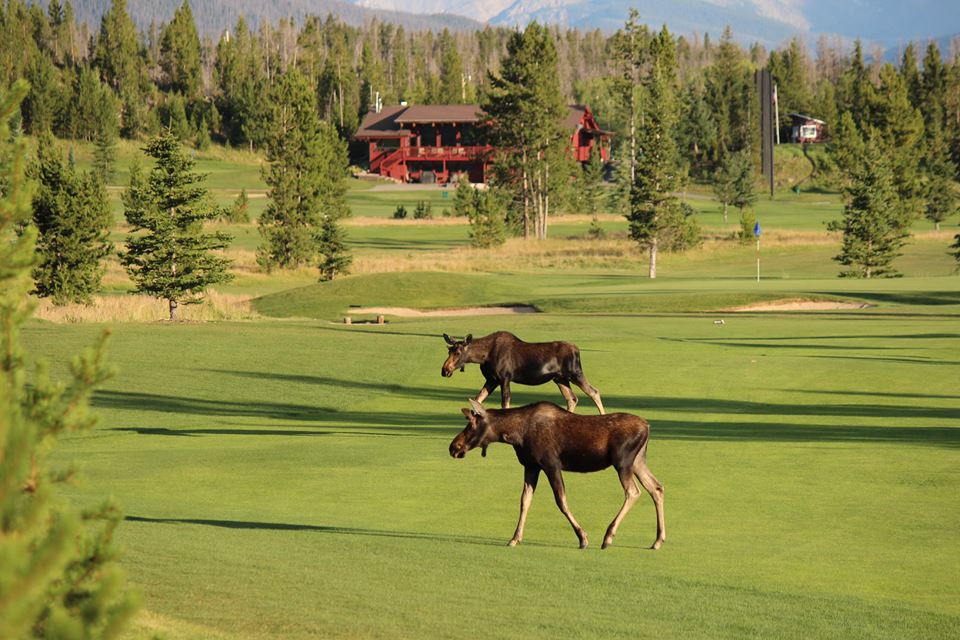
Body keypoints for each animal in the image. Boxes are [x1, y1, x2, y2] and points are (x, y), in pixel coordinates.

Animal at [441, 331, 605, 414]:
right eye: (449, 350)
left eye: (458, 352)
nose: (444, 370)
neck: (483, 357)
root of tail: (577, 349)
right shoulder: (492, 380)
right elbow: (477, 400)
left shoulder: (504, 378)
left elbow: (505, 403)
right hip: (560, 379)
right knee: (572, 399)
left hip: (575, 373)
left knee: (594, 391)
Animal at [449, 400, 665, 550]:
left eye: (471, 424)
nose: (454, 447)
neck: (515, 435)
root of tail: (647, 427)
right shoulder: (531, 466)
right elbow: (524, 501)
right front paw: (514, 538)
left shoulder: (551, 464)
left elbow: (561, 501)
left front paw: (583, 538)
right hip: (638, 461)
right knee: (656, 487)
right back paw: (657, 540)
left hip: (622, 462)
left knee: (634, 492)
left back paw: (608, 537)